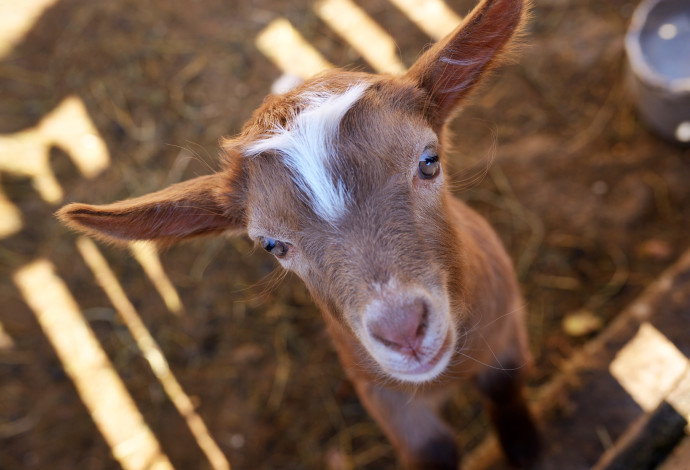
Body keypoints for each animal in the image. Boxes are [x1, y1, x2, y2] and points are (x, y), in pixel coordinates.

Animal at [56, 1, 536, 468]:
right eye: (272, 244)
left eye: (429, 162)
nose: (402, 331)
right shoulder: (383, 392)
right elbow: (430, 449)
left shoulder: (508, 328)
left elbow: (505, 389)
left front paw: (526, 448)